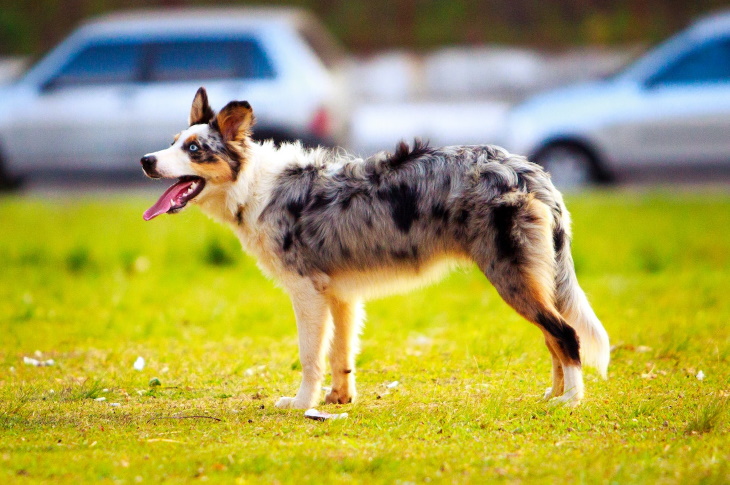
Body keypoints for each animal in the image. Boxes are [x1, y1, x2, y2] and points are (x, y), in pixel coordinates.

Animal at [139, 87, 604, 408]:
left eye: (194, 149)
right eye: (174, 141)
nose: (146, 160)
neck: (253, 185)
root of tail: (529, 172)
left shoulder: (306, 293)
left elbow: (310, 356)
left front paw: (301, 403)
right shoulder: (340, 295)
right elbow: (340, 353)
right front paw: (337, 400)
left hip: (510, 276)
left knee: (565, 333)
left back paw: (571, 400)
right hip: (529, 278)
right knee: (553, 336)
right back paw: (554, 395)